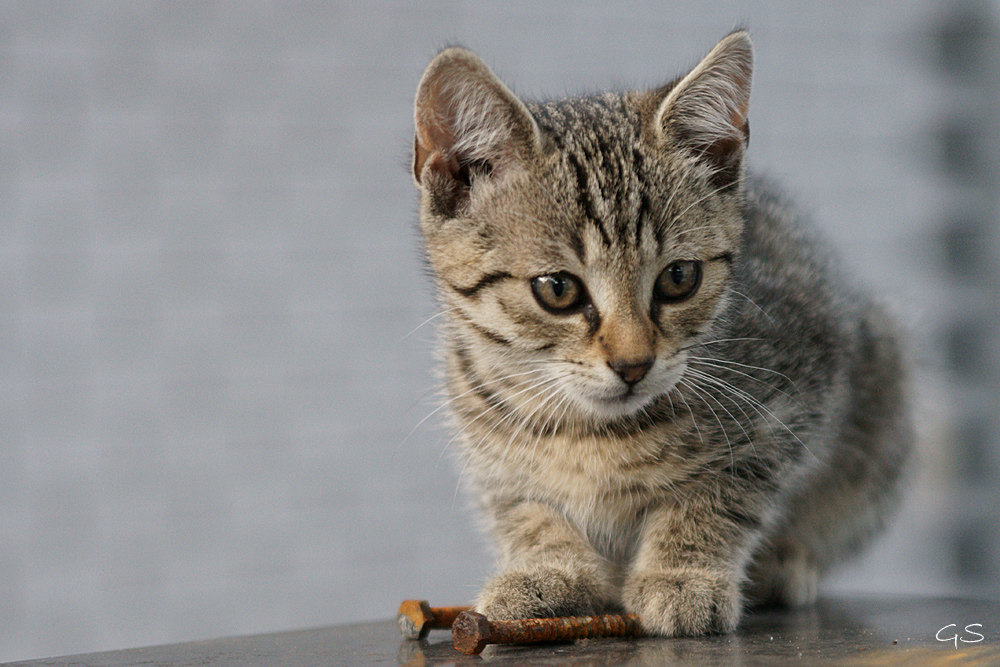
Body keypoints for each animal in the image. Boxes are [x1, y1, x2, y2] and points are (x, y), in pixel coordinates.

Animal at [410, 34, 912, 640]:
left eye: (679, 278)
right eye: (557, 289)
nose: (634, 364)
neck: (590, 432)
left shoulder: (797, 396)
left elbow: (719, 494)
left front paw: (681, 575)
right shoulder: (488, 450)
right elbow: (524, 512)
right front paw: (547, 572)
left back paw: (782, 566)